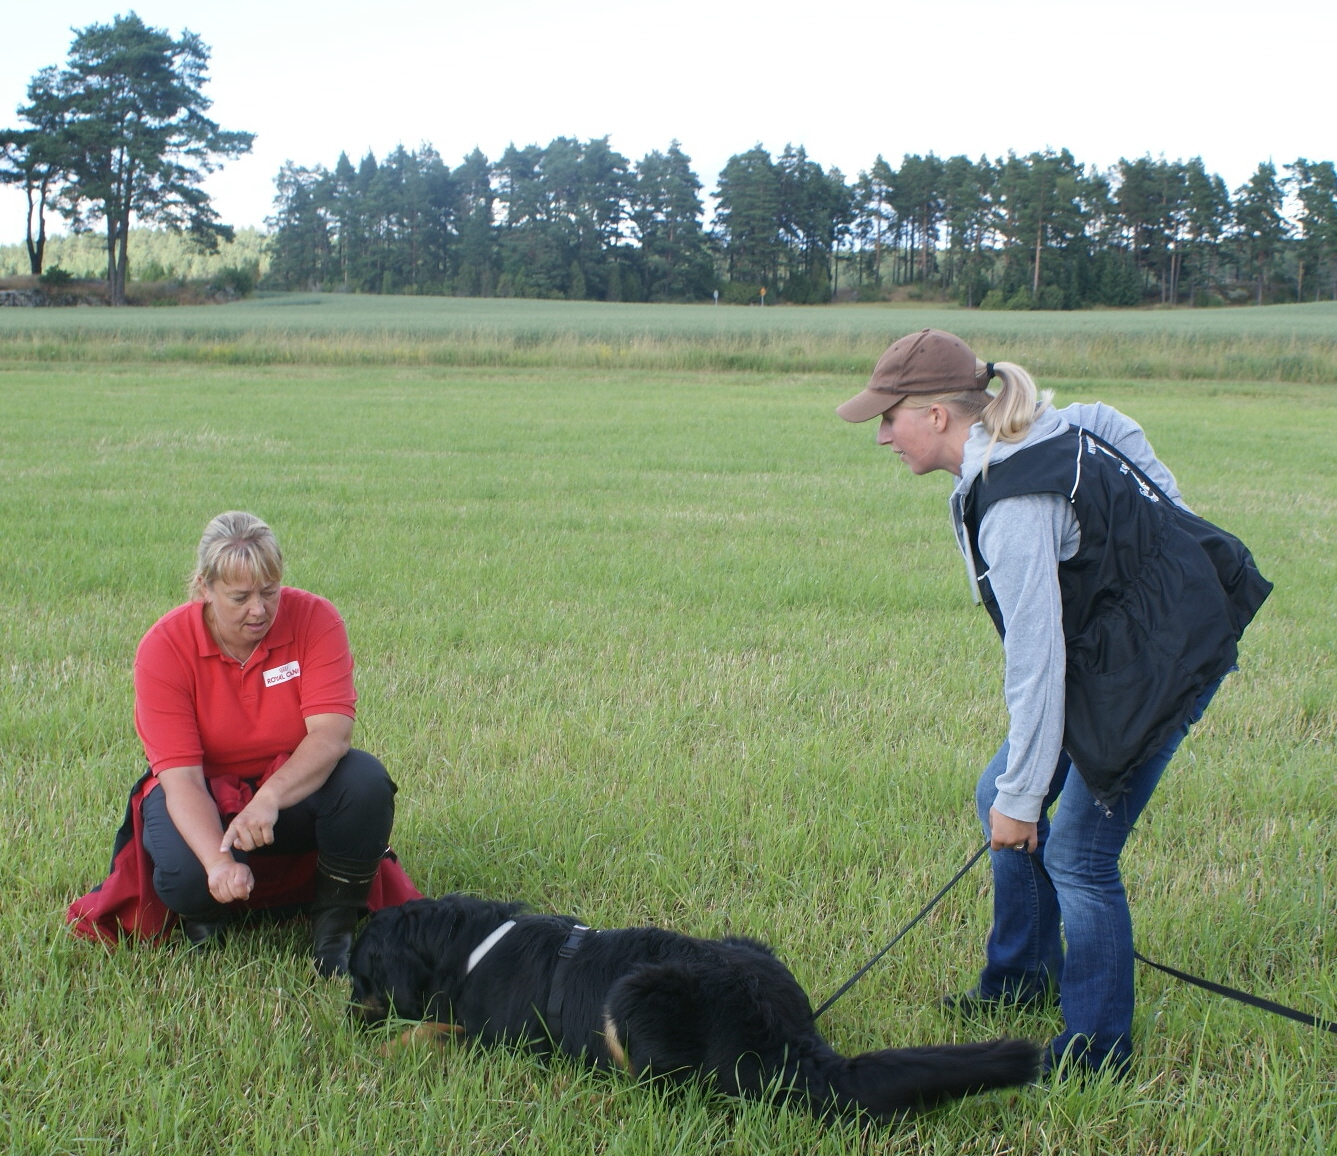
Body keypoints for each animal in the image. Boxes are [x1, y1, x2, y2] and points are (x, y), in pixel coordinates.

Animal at [350, 892, 1037, 1117]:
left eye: (359, 975)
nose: (349, 1016)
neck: (470, 945)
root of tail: (788, 1034)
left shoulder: (495, 1035)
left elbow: (429, 1030)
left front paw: (380, 1052)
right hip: (746, 947)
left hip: (634, 993)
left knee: (677, 1085)